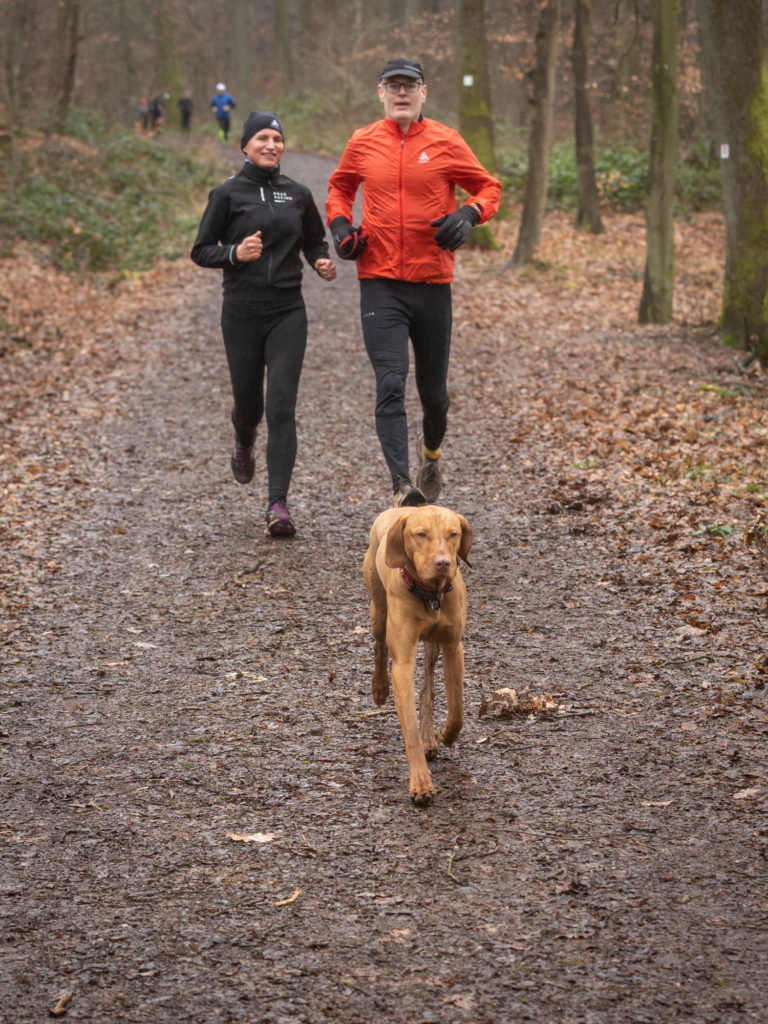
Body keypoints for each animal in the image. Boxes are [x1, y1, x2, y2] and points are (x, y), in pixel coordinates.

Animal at [362, 505, 473, 805]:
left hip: (433, 645)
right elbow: (408, 729)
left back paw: (430, 738)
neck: (429, 594)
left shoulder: (453, 647)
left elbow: (457, 708)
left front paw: (446, 735)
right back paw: (379, 688)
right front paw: (420, 783)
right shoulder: (402, 664)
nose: (444, 562)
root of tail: (401, 507)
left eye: (453, 534)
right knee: (379, 646)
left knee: (427, 690)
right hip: (378, 612)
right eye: (421, 534)